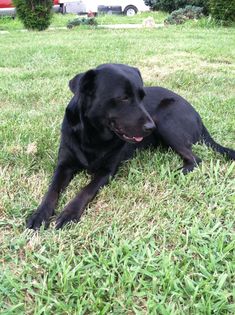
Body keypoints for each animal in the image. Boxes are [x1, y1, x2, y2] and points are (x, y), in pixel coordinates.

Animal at [27, 63, 233, 230]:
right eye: (123, 98)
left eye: (142, 97)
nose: (151, 128)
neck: (93, 136)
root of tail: (198, 116)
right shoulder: (64, 165)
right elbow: (52, 189)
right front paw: (40, 214)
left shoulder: (106, 171)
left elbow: (86, 190)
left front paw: (70, 213)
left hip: (166, 121)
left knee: (195, 158)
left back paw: (179, 171)